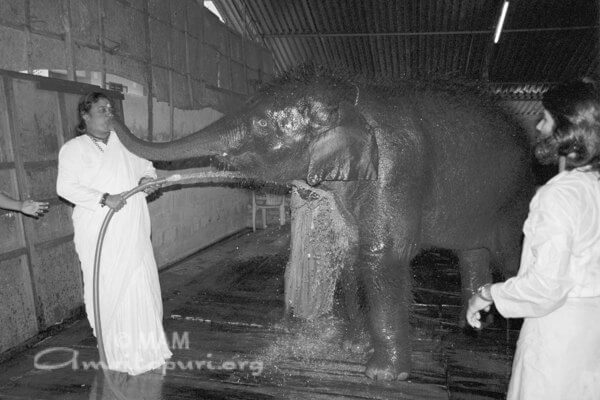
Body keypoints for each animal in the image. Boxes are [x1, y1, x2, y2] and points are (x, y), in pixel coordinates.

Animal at [110, 68, 536, 382]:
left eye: (261, 123)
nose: (109, 99)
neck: (352, 99)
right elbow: (350, 253)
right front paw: (353, 349)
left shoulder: (396, 168)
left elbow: (380, 256)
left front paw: (383, 375)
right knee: (473, 252)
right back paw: (473, 322)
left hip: (518, 200)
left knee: (514, 259)